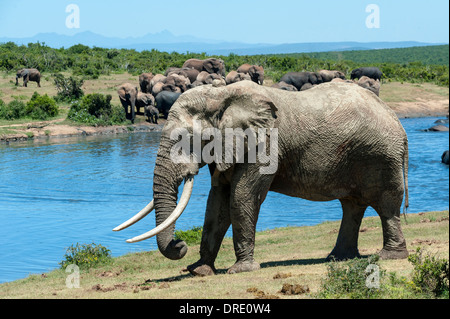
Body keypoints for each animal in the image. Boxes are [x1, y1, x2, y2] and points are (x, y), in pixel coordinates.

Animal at [114, 80, 410, 278]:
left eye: (186, 140)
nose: (179, 244)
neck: (220, 97)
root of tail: (396, 119)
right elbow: (217, 202)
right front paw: (199, 271)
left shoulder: (264, 144)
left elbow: (240, 197)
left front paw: (240, 270)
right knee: (352, 206)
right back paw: (339, 258)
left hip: (380, 155)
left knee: (385, 205)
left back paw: (389, 256)